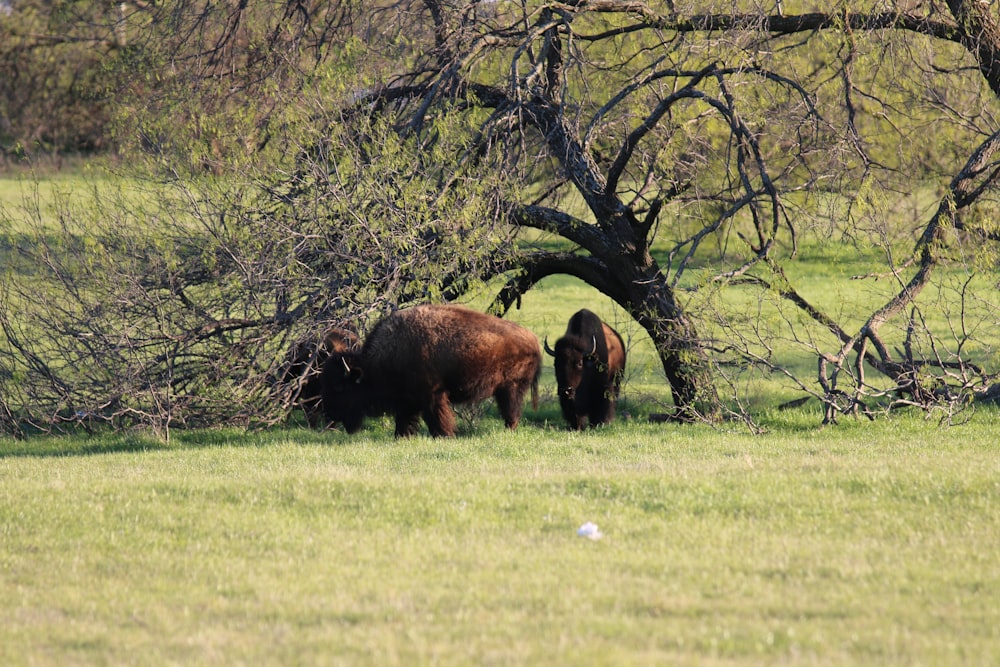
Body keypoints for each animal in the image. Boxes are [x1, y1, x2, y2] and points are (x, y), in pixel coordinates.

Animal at [320, 304, 540, 438]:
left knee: (511, 413)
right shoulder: (407, 402)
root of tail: (533, 340)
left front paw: (445, 436)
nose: (329, 414)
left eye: (339, 386)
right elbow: (405, 422)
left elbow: (437, 419)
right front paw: (402, 437)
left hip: (510, 388)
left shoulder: (432, 397)